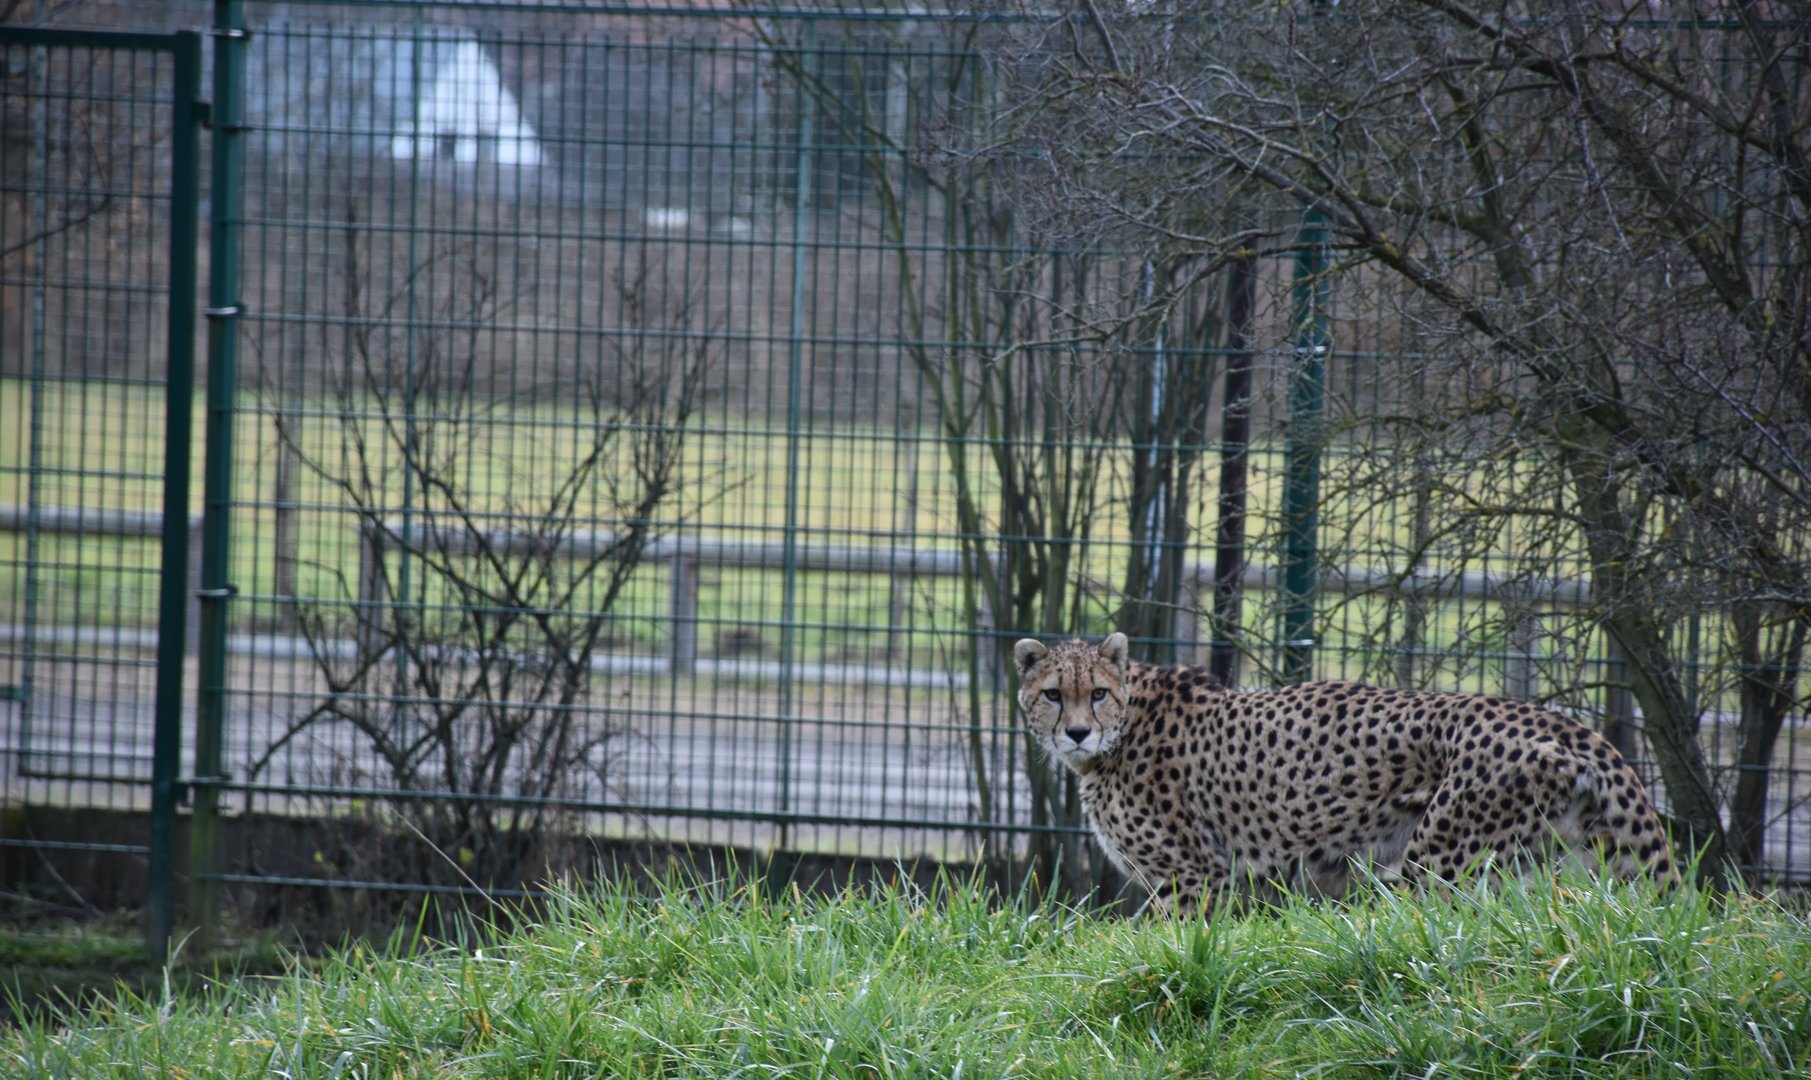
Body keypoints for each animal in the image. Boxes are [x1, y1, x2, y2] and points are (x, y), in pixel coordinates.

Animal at [1015, 632, 1674, 915]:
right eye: (1053, 695)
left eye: (1098, 693)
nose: (1078, 731)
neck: (1124, 728)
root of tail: (1555, 717)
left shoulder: (1192, 878)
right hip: (1546, 859)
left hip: (1440, 864)